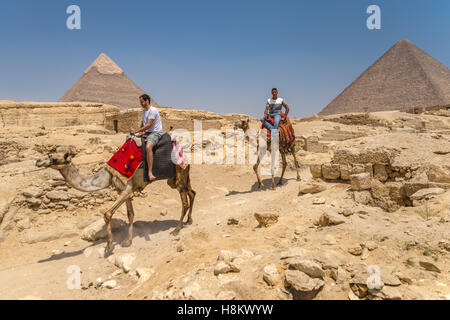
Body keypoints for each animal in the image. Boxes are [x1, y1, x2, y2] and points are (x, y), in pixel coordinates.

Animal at [35, 149, 195, 256]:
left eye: (55, 158)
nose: (38, 161)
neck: (107, 176)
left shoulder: (127, 189)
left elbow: (107, 214)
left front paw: (109, 247)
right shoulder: (124, 191)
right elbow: (130, 214)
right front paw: (127, 241)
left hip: (179, 174)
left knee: (184, 202)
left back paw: (176, 230)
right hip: (178, 177)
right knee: (192, 192)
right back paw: (189, 220)